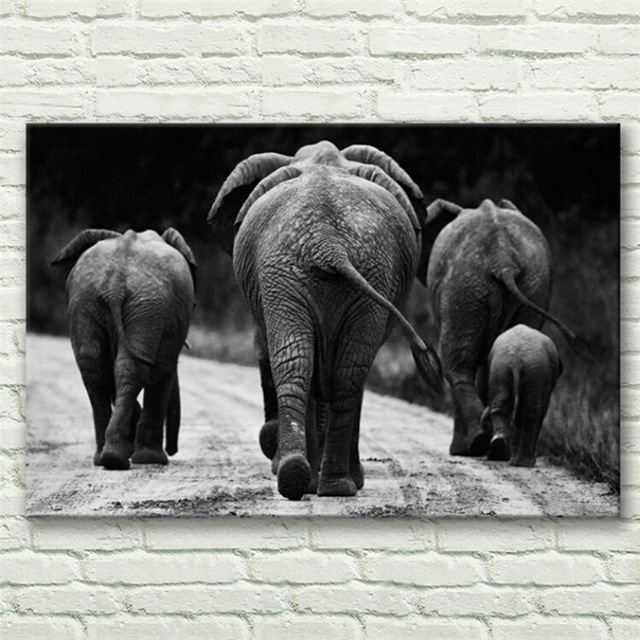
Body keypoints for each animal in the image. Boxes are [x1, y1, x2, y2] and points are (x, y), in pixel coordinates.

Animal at [52, 228, 197, 470]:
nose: (173, 450)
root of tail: (115, 283)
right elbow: (163, 373)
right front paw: (151, 459)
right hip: (145, 305)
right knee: (133, 369)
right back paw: (126, 458)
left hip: (92, 303)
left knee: (96, 372)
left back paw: (107, 458)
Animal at [208, 140, 443, 500]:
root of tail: (326, 240)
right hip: (306, 271)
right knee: (338, 370)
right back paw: (324, 484)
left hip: (328, 270)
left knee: (307, 365)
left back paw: (313, 482)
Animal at [480, 324, 562, 467]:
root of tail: (516, 361)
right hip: (535, 372)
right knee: (531, 413)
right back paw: (524, 463)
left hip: (500, 368)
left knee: (501, 406)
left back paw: (504, 451)